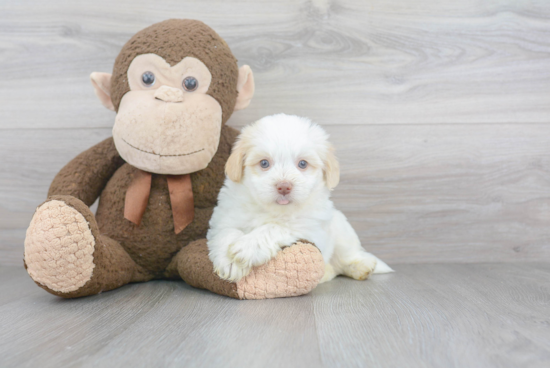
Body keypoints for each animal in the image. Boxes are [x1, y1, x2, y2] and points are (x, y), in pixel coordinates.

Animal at [206, 114, 392, 282]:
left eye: (302, 164)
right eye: (264, 163)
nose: (284, 186)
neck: (273, 210)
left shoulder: (310, 229)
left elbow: (276, 227)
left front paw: (248, 246)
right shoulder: (224, 218)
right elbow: (227, 232)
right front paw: (229, 262)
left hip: (342, 231)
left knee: (346, 257)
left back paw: (361, 266)